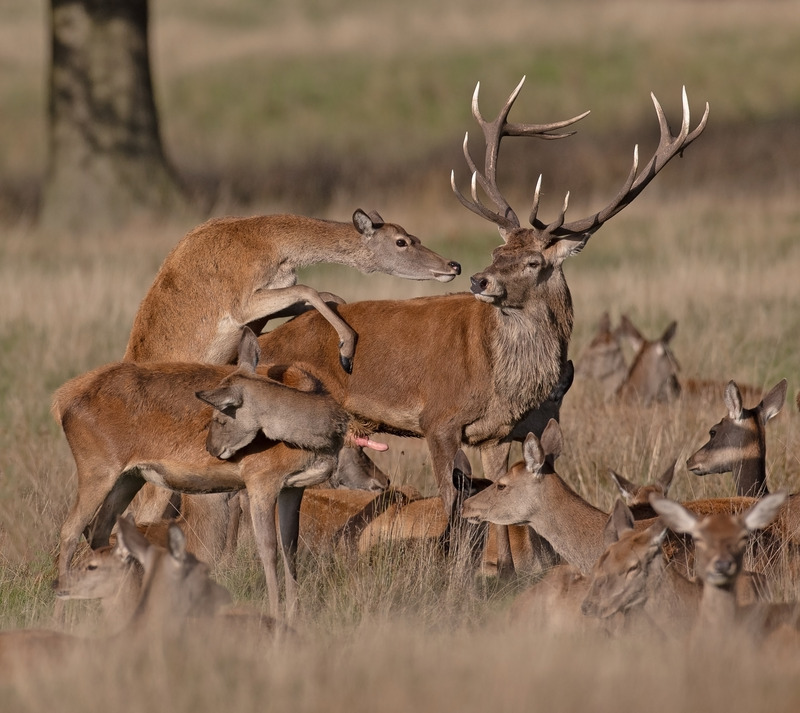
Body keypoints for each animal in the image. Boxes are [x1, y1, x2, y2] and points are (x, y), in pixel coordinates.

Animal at [52, 328, 383, 621]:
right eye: (219, 414)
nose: (382, 480)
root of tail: (62, 401)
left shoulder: (292, 488)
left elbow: (291, 549)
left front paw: (295, 614)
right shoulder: (260, 483)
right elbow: (268, 550)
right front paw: (277, 613)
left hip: (129, 477)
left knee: (99, 529)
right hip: (98, 471)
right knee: (70, 531)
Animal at [256, 79, 707, 574]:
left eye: (533, 261)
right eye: (497, 251)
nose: (478, 279)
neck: (497, 380)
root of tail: (261, 341)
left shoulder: (497, 432)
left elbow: (497, 500)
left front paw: (503, 569)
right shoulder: (437, 418)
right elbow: (452, 503)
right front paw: (451, 572)